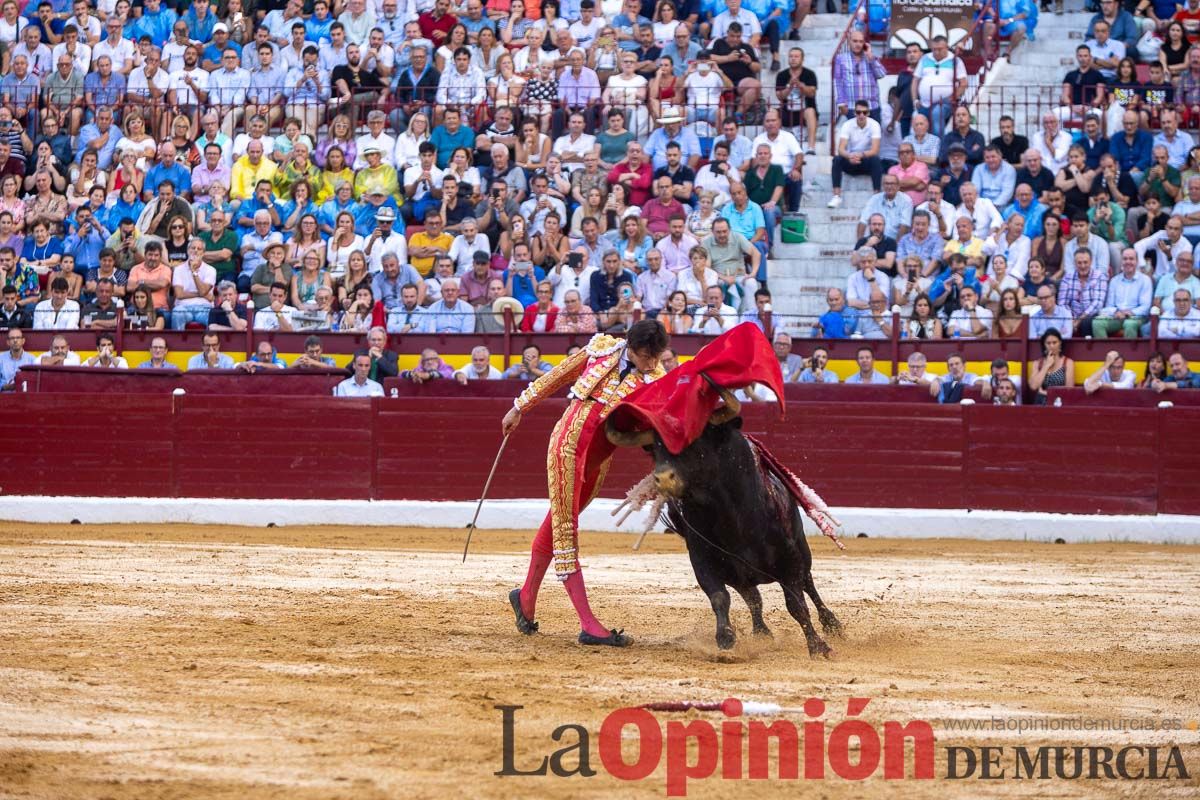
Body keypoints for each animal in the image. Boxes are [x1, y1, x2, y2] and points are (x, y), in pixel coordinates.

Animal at [604, 383, 840, 657]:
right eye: (655, 449)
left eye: (694, 443)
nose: (663, 478)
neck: (732, 518)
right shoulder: (703, 562)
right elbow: (720, 597)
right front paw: (725, 638)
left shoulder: (789, 561)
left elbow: (796, 604)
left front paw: (818, 647)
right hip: (741, 574)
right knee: (754, 598)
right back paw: (761, 632)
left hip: (802, 549)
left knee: (808, 584)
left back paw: (833, 625)